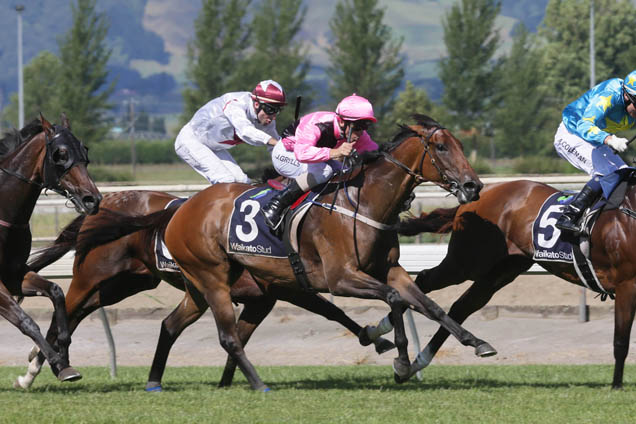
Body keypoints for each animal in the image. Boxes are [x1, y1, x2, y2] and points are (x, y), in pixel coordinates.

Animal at [0, 115, 100, 384]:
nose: (92, 199)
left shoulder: (14, 274)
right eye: (60, 154)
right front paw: (57, 362)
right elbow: (26, 321)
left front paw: (64, 358)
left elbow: (56, 291)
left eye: (85, 151)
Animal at [400, 179, 636, 388]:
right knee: (422, 280)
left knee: (462, 306)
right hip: (465, 263)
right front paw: (616, 386)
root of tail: (478, 195)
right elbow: (621, 340)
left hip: (504, 269)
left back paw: (417, 364)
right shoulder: (627, 284)